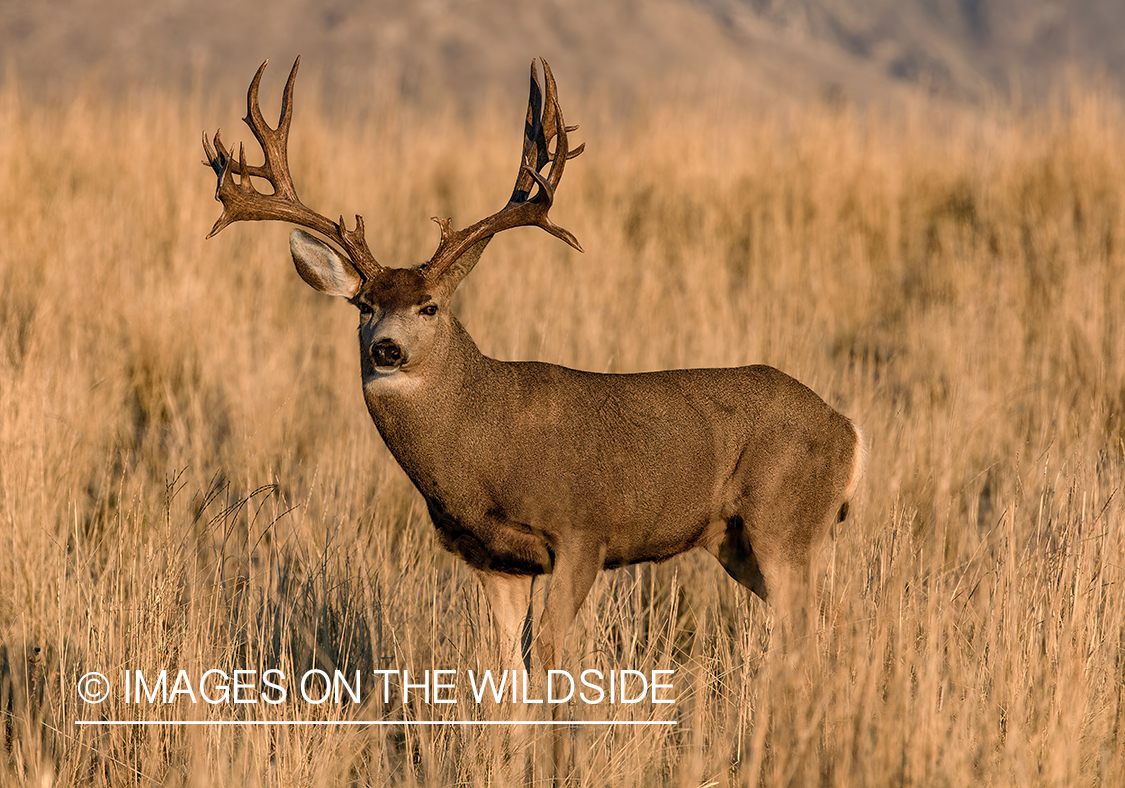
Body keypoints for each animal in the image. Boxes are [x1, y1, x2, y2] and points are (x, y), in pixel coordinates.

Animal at [202, 58, 864, 688]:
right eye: (364, 306)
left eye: (429, 306)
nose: (386, 349)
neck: (484, 445)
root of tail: (851, 432)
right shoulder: (495, 559)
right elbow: (506, 666)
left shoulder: (583, 532)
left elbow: (547, 657)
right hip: (737, 539)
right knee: (821, 621)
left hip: (783, 519)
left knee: (808, 628)